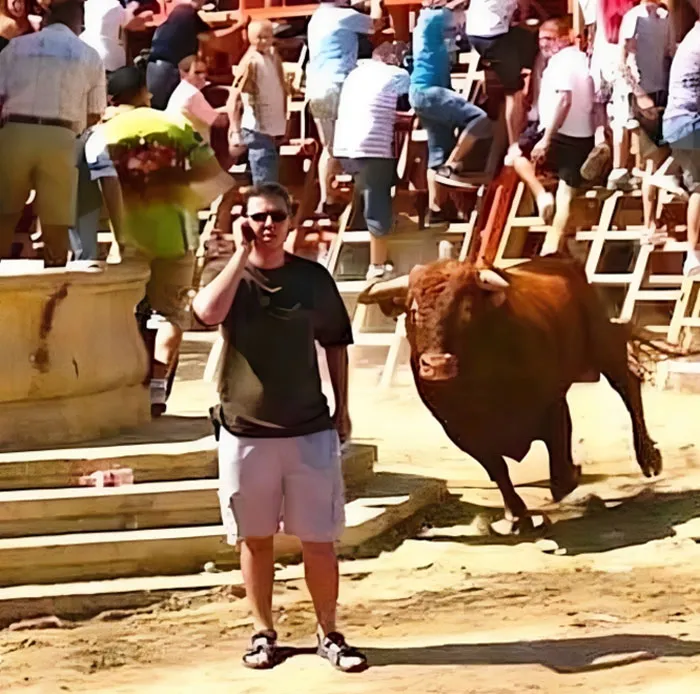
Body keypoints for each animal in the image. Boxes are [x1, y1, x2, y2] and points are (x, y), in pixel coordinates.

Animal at [360, 256, 660, 532]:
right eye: (412, 310)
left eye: (467, 309)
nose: (438, 366)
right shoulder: (461, 431)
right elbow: (498, 469)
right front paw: (517, 514)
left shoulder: (551, 405)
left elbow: (560, 473)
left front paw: (574, 476)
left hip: (602, 346)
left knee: (628, 383)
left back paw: (649, 457)